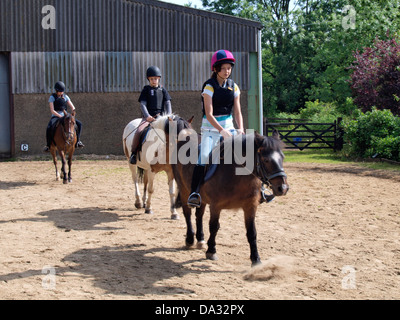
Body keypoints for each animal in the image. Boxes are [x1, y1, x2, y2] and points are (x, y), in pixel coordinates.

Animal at [170, 129, 290, 266]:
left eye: (282, 157)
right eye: (265, 160)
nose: (283, 188)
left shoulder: (250, 206)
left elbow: (252, 232)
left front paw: (256, 259)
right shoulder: (215, 206)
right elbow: (214, 227)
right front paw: (211, 251)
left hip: (202, 198)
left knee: (198, 215)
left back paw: (200, 240)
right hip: (184, 189)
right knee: (188, 214)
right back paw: (190, 239)